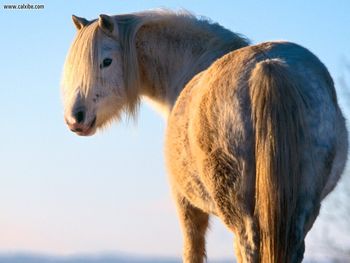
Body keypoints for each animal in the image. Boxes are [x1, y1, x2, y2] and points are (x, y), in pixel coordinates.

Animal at [62, 9, 348, 262]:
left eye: (106, 61)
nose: (76, 118)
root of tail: (269, 66)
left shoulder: (185, 202)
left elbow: (193, 250)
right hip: (301, 207)